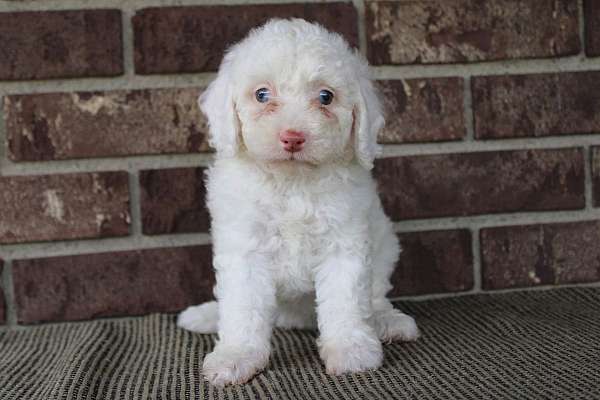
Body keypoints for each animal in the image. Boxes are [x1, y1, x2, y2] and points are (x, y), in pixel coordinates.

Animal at [178, 18, 420, 384]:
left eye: (325, 97)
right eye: (262, 94)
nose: (292, 137)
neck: (293, 181)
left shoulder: (344, 241)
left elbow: (346, 299)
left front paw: (350, 350)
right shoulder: (245, 247)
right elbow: (243, 306)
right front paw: (236, 356)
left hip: (385, 245)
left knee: (375, 295)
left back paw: (386, 321)